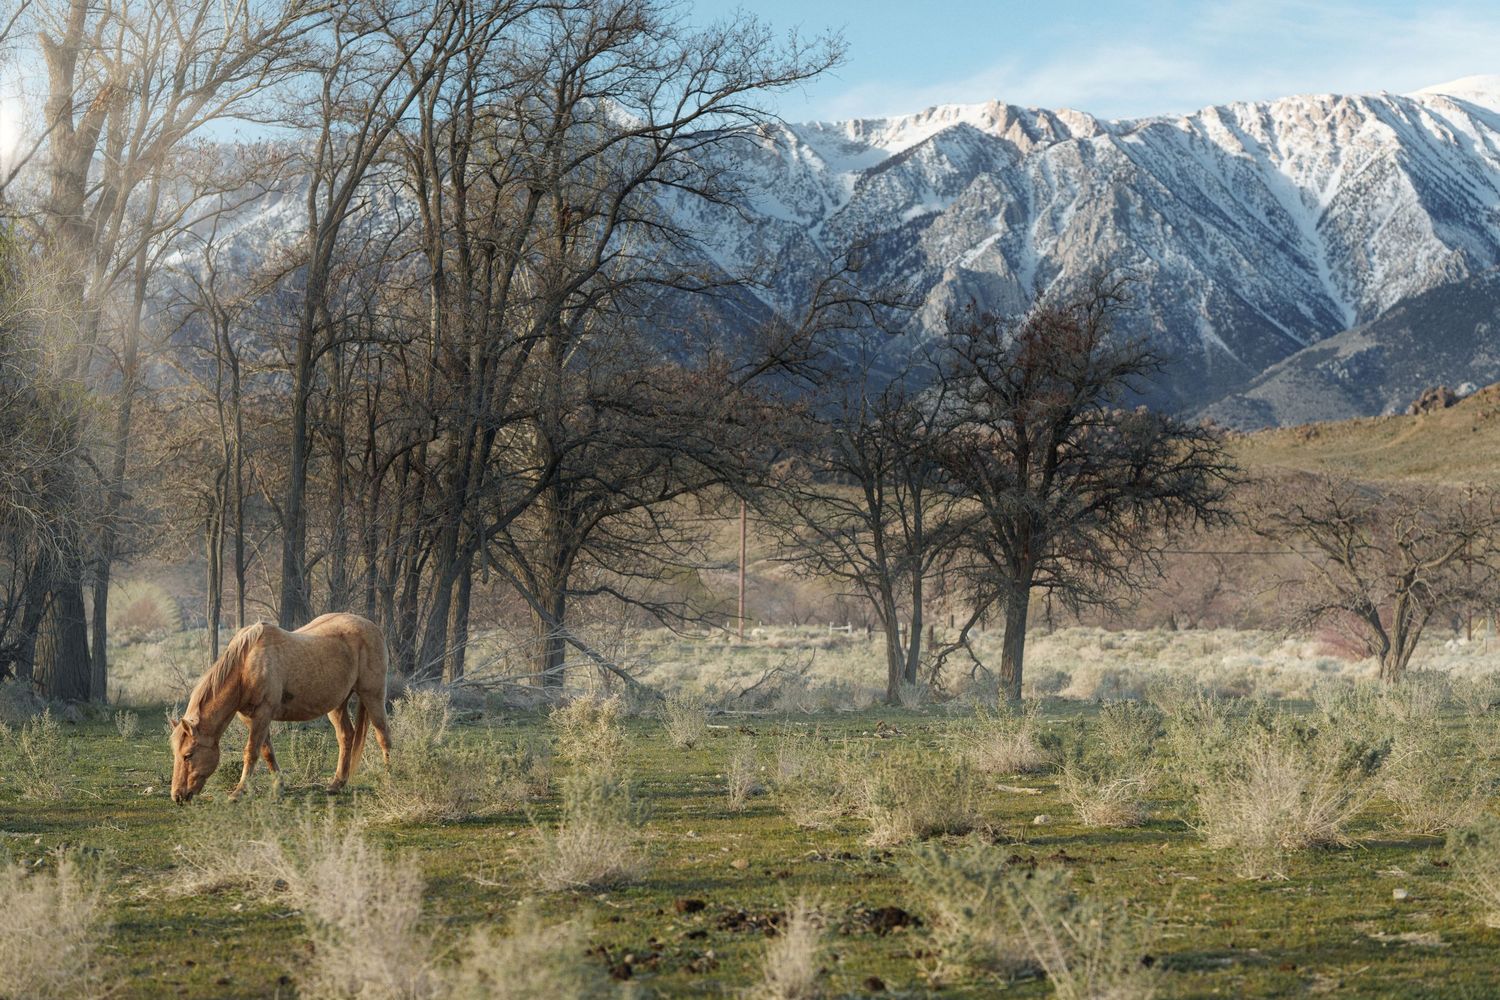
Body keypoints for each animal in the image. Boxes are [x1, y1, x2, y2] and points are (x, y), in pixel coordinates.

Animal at [169, 613, 392, 803]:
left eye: (188, 755)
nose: (177, 796)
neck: (245, 666)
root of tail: (374, 628)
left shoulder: (263, 713)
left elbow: (251, 752)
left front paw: (238, 792)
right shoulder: (251, 718)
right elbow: (267, 751)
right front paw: (279, 787)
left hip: (372, 695)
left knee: (383, 736)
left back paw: (388, 779)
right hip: (337, 705)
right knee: (346, 736)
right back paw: (336, 784)